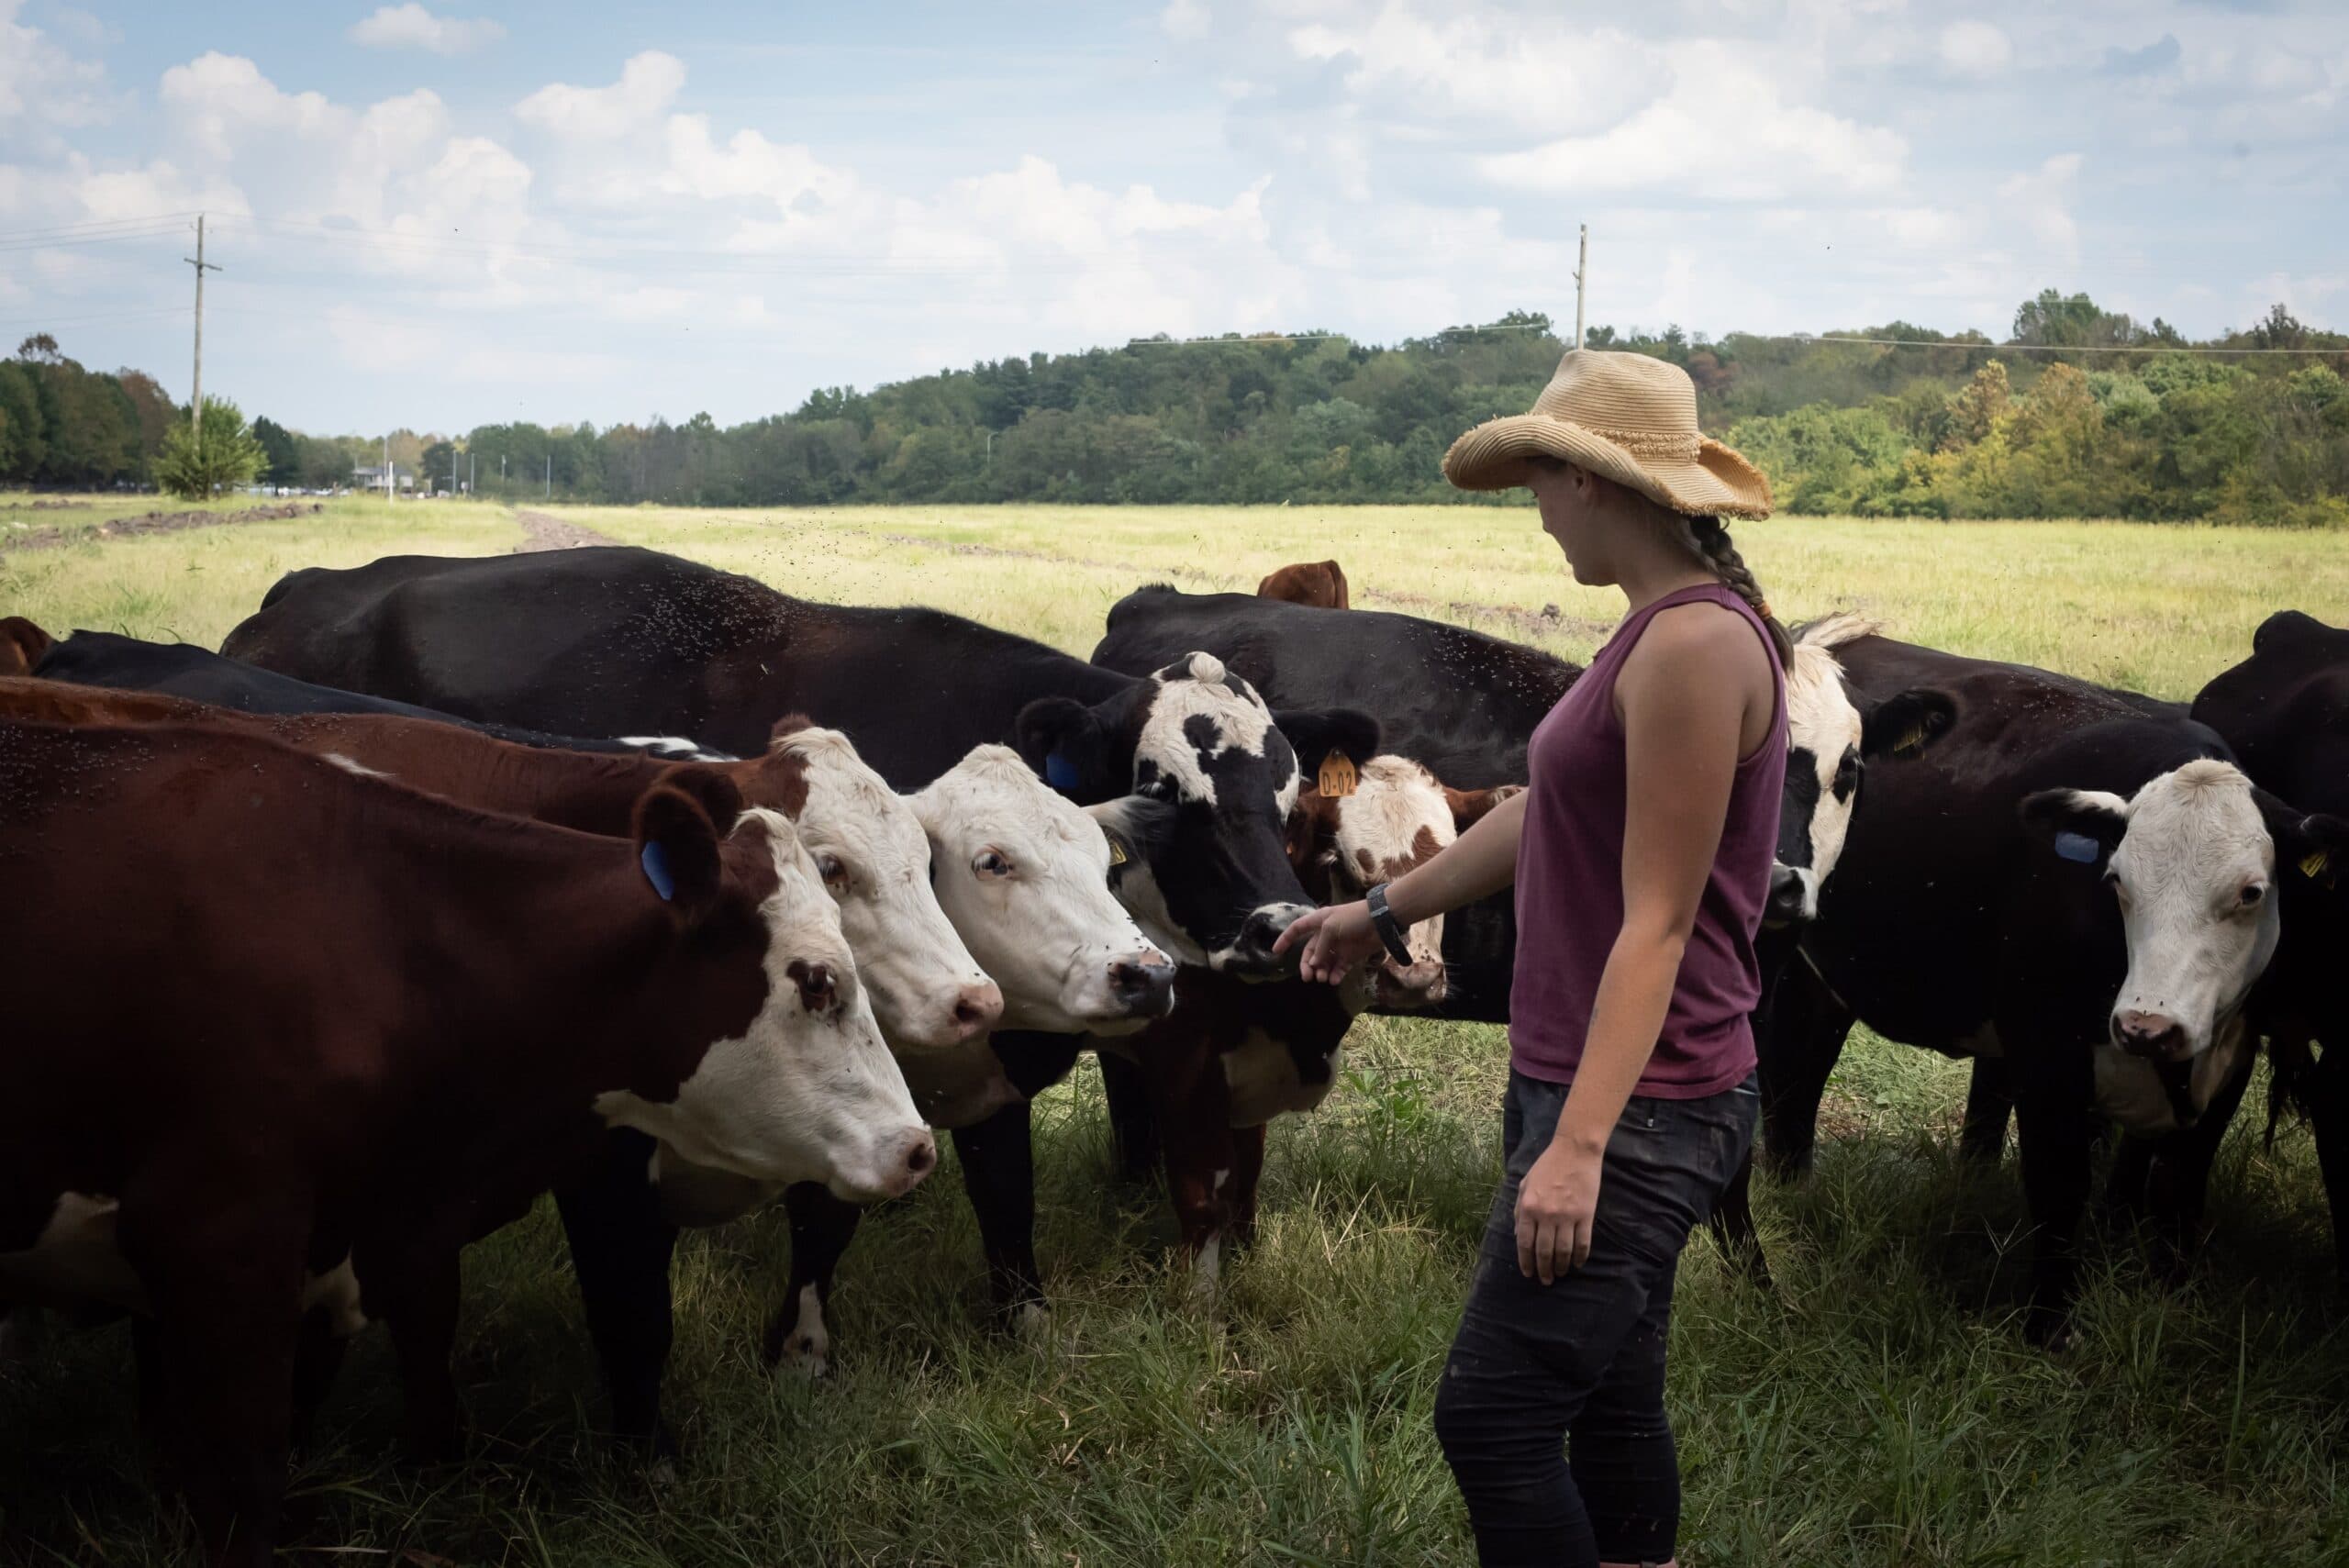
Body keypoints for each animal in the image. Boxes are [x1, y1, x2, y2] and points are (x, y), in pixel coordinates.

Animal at [1747, 638, 2349, 1351]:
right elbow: (2059, 1184)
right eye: (2116, 881)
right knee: (1784, 1067)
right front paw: (2049, 1331)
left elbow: (2180, 1191)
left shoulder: (2230, 1058)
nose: (2149, 1025)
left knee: (1799, 1067)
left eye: (2251, 891)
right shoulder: (2045, 1052)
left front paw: (2171, 1298)